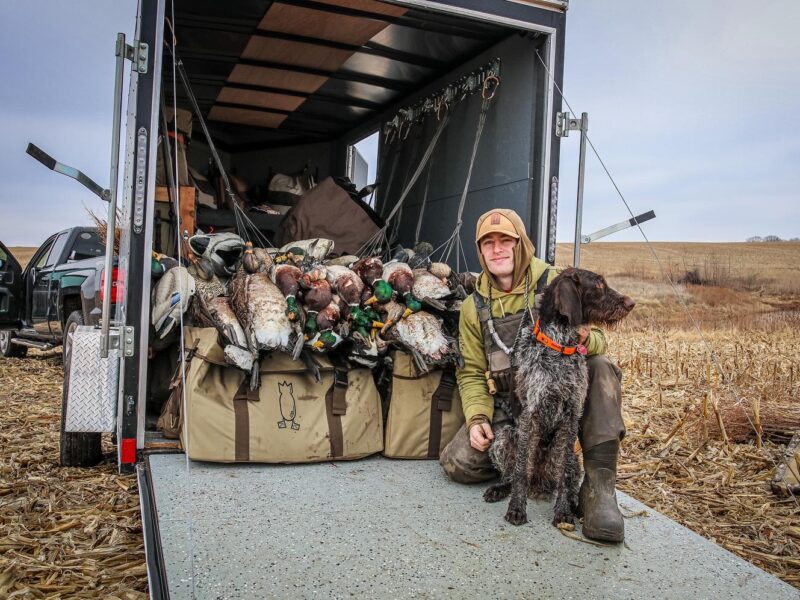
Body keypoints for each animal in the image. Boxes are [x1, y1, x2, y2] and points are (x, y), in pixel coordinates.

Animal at [484, 270, 636, 528]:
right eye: (598, 284)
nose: (630, 302)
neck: (560, 347)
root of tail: (538, 483)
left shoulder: (571, 417)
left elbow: (564, 475)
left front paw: (563, 512)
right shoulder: (531, 415)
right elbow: (520, 470)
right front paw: (516, 509)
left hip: (567, 456)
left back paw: (575, 505)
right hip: (504, 438)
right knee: (513, 474)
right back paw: (501, 488)